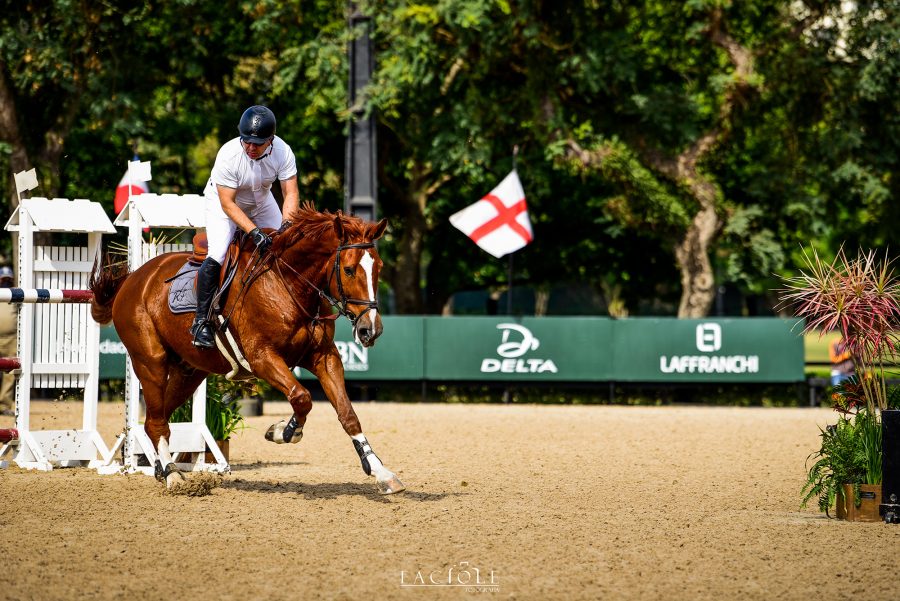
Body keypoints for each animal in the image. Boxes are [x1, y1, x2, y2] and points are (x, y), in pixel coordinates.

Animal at [89, 204, 404, 494]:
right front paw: (283, 431)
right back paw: (172, 475)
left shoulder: (324, 357)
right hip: (150, 363)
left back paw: (159, 468)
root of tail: (133, 279)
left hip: (188, 372)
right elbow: (302, 397)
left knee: (156, 419)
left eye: (378, 268)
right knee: (156, 421)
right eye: (349, 270)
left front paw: (381, 472)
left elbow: (347, 413)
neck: (290, 284)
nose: (370, 330)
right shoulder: (262, 358)